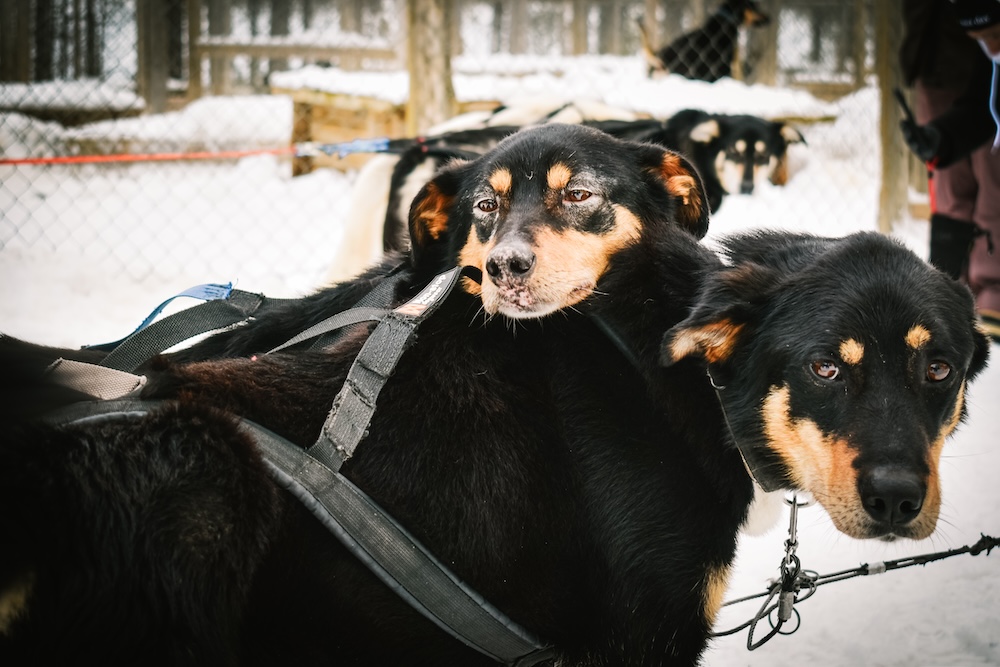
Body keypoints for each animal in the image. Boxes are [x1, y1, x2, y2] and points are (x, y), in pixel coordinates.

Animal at [0, 126, 988, 667]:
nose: (897, 497)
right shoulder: (642, 635)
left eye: (938, 369)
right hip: (200, 478)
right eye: (825, 366)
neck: (653, 356)